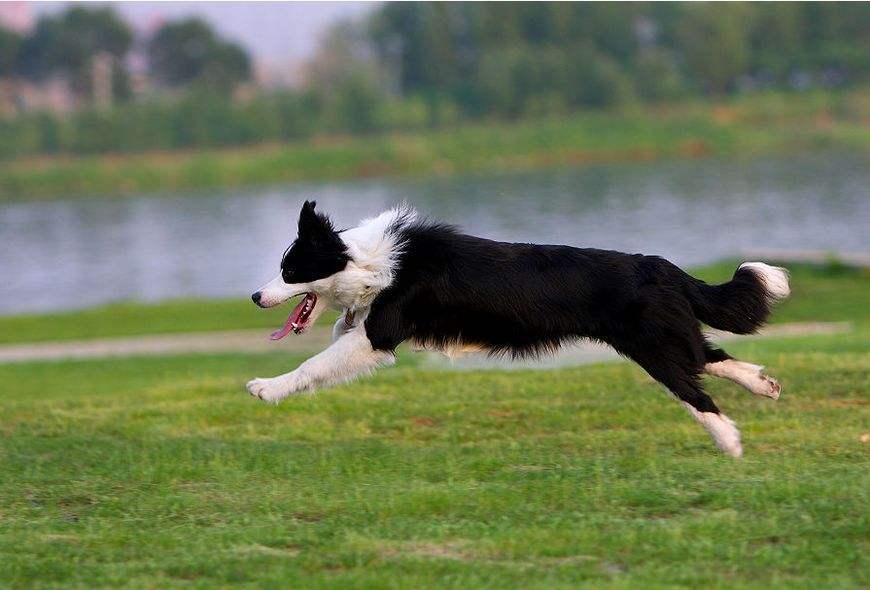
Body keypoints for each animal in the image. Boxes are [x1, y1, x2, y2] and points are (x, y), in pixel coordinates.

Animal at [250, 202, 792, 458]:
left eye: (290, 271)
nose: (255, 296)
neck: (366, 260)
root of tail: (662, 266)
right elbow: (334, 341)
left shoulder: (379, 334)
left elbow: (314, 363)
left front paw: (266, 388)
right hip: (665, 337)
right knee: (711, 357)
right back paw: (762, 385)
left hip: (653, 347)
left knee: (697, 390)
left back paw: (730, 443)